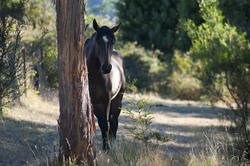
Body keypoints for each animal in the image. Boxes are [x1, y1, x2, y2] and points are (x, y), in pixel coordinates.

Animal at [85, 18, 125, 150]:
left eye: (113, 41)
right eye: (98, 41)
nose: (107, 68)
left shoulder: (105, 102)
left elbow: (104, 124)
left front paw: (106, 149)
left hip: (117, 99)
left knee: (113, 122)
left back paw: (113, 144)